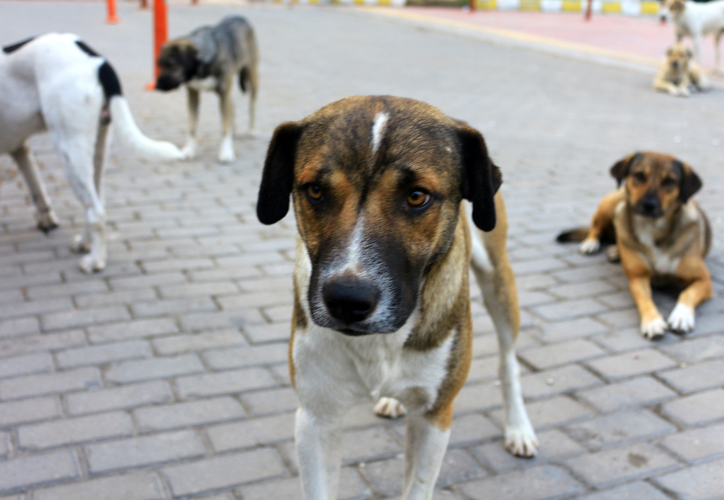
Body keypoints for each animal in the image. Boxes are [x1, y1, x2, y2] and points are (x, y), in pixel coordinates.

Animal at [0, 33, 181, 274]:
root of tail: (98, 61)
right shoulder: (20, 148)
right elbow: (37, 190)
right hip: (96, 151)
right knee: (95, 201)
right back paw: (85, 244)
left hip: (70, 152)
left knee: (96, 212)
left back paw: (95, 261)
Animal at [154, 15, 258, 163]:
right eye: (159, 64)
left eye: (171, 64)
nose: (157, 86)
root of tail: (241, 17)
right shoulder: (193, 94)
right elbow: (192, 126)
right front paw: (189, 150)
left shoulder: (224, 93)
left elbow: (224, 128)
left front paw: (226, 152)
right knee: (233, 105)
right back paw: (234, 130)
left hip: (251, 74)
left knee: (252, 104)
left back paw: (251, 129)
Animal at [258, 95, 536, 498]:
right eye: (315, 191)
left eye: (417, 196)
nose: (347, 300)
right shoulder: (316, 417)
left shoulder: (435, 417)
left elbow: (418, 486)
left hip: (499, 279)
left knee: (508, 362)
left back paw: (519, 427)